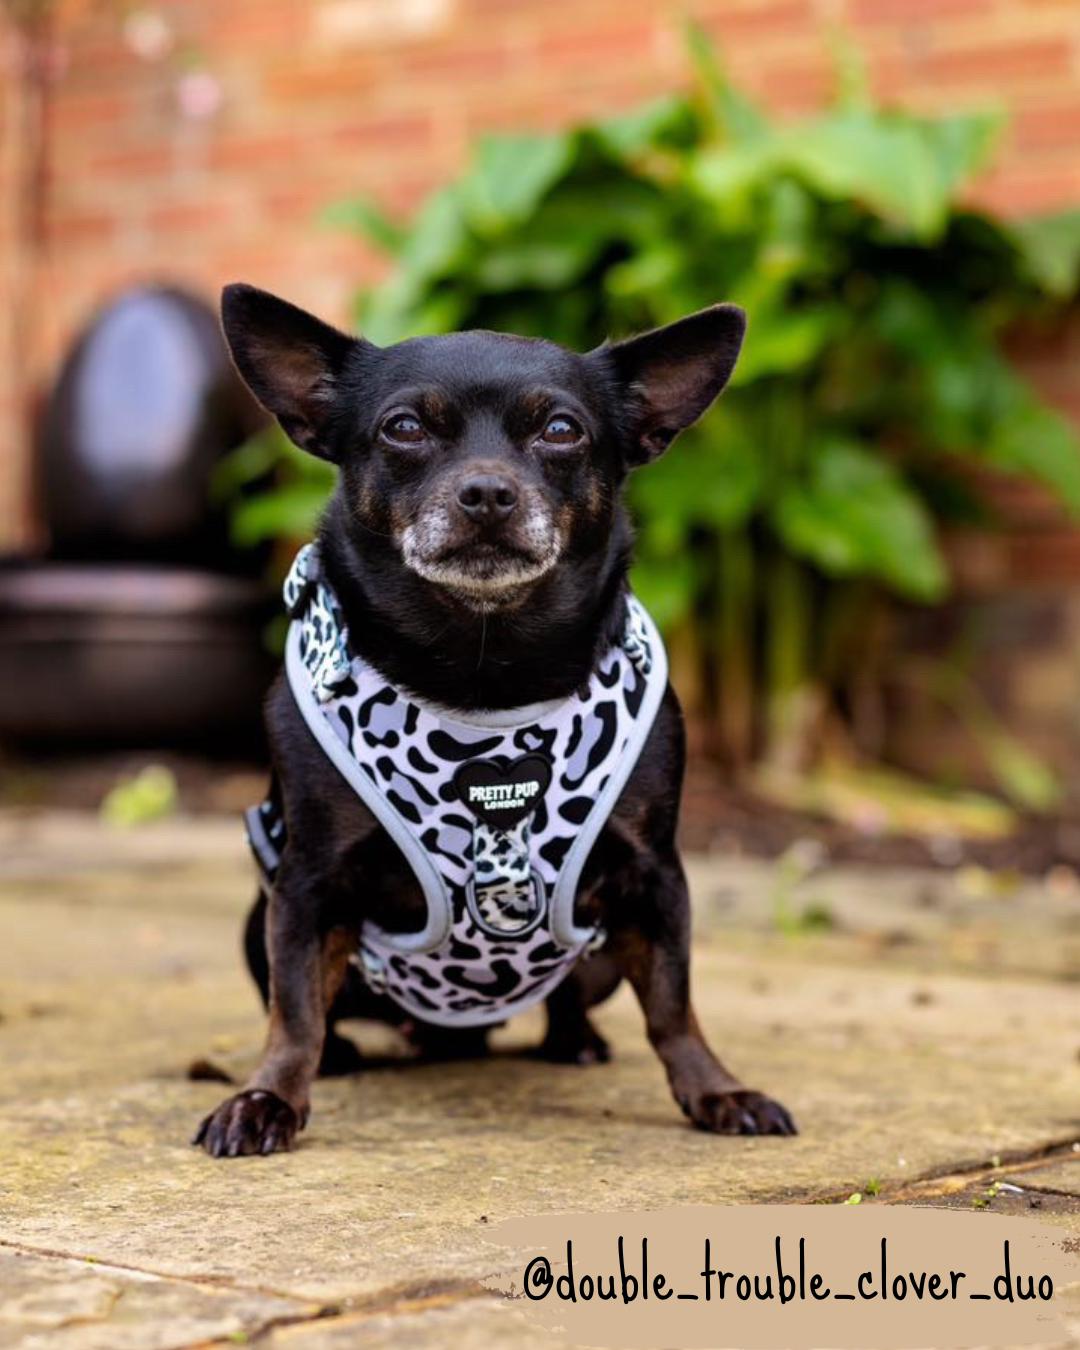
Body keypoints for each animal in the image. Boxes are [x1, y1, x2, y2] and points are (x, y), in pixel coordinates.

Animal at [195, 282, 793, 1150]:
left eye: (561, 430)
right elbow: (295, 1010)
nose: (485, 491)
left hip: (595, 946)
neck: (486, 666)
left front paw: (717, 1090)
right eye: (404, 428)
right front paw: (269, 1097)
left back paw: (576, 1041)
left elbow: (675, 1006)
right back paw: (342, 1055)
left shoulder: (654, 877)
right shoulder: (305, 888)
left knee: (573, 996)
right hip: (256, 916)